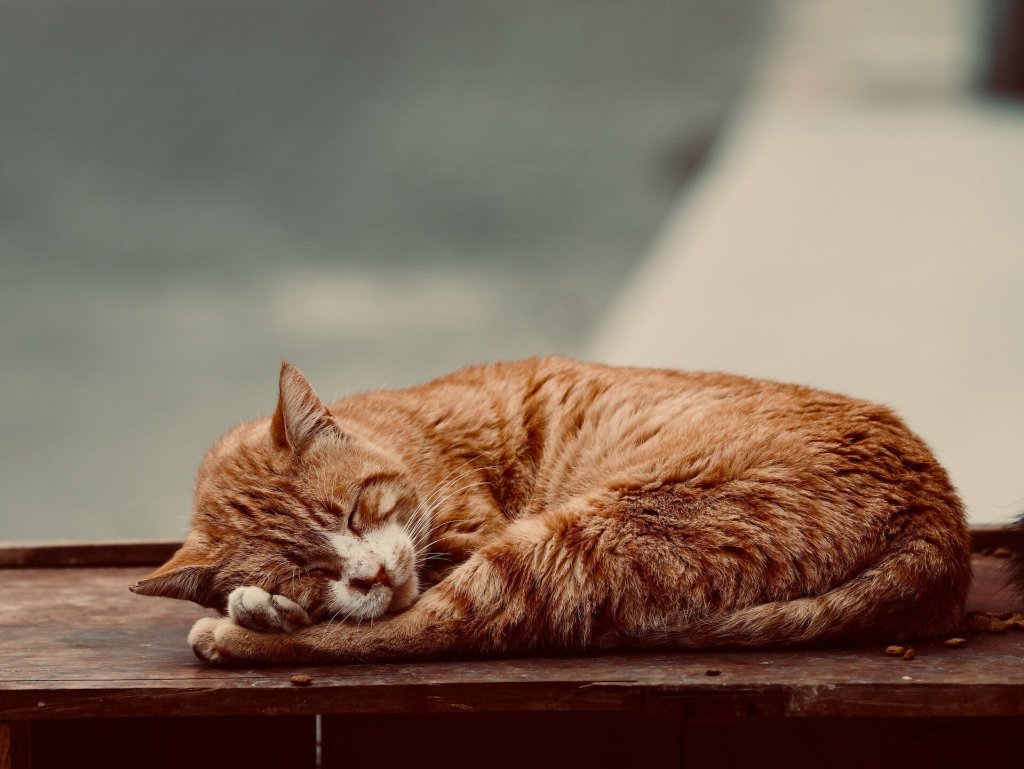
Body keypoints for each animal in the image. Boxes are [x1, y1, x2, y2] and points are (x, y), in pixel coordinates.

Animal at [132, 358, 970, 663]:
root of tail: (940, 512)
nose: (368, 574)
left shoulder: (472, 534)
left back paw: (239, 632)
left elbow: (395, 613)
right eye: (305, 566)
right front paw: (279, 599)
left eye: (351, 512)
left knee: (436, 627)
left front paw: (267, 609)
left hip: (584, 532)